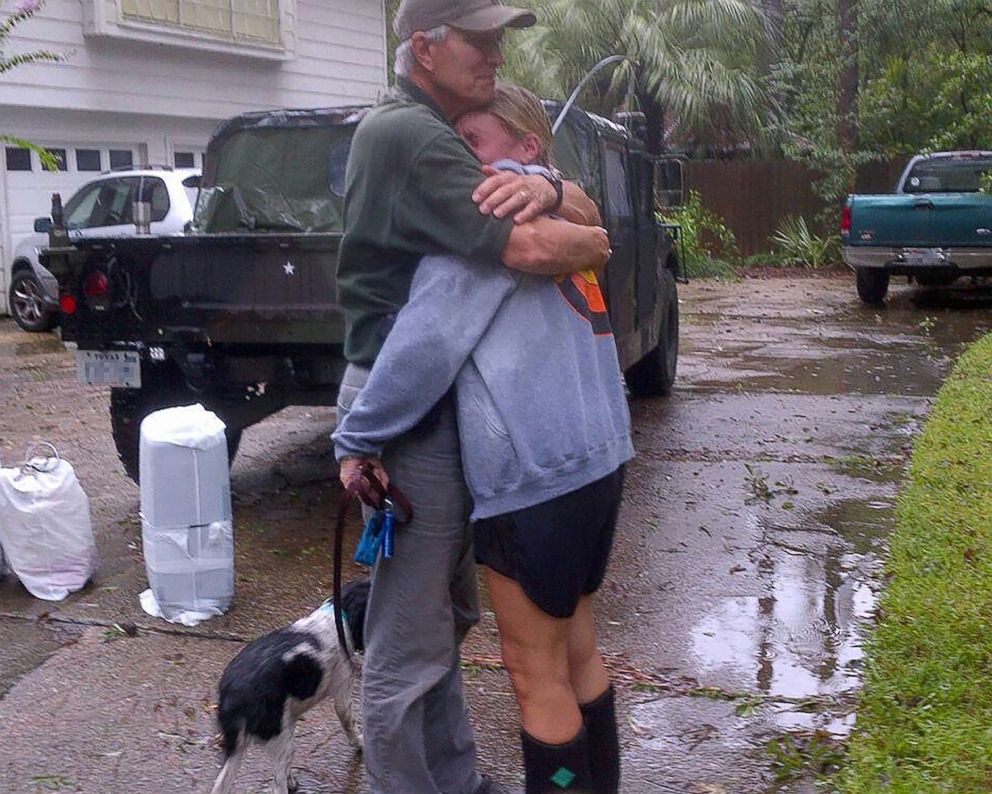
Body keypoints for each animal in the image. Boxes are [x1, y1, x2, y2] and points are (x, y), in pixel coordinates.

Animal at [209, 576, 368, 792]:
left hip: (237, 743)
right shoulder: (342, 690)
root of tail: (232, 696)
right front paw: (361, 744)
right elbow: (350, 723)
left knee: (221, 783)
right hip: (275, 738)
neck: (338, 615)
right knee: (277, 784)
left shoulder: (290, 718)